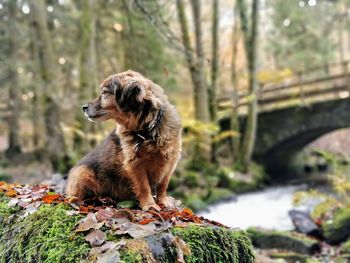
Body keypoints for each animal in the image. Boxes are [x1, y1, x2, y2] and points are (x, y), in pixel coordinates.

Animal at [65, 70, 182, 210]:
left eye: (104, 92)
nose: (83, 107)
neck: (146, 131)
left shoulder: (171, 161)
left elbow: (163, 185)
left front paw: (163, 201)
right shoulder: (135, 164)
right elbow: (144, 187)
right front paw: (150, 205)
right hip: (82, 172)